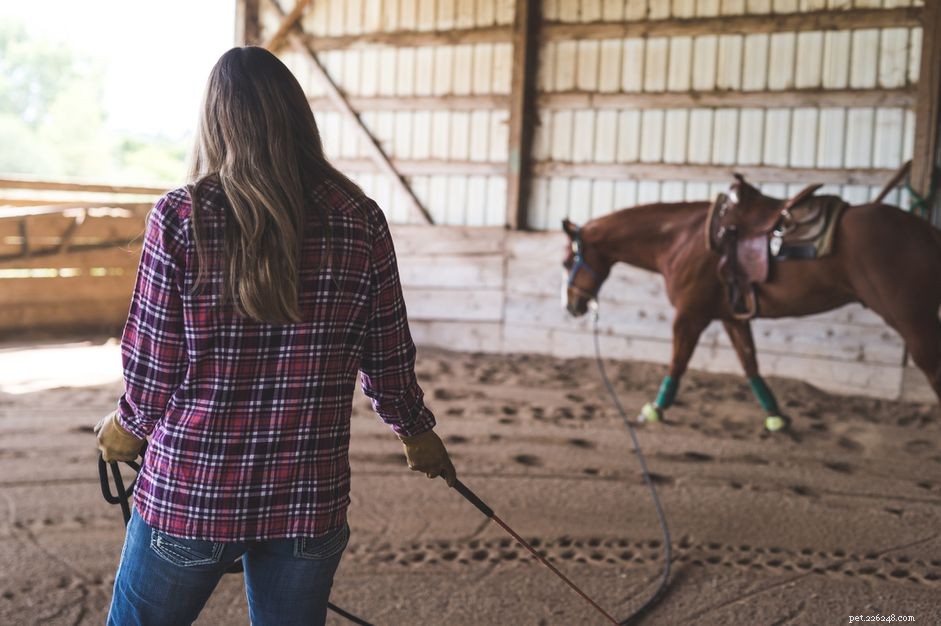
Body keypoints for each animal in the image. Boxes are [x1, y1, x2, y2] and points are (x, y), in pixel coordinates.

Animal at [562, 176, 941, 432]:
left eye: (567, 262)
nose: (573, 306)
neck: (681, 239)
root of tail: (927, 231)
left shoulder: (689, 316)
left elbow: (678, 363)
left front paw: (654, 409)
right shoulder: (731, 317)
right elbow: (750, 365)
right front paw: (776, 417)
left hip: (913, 321)